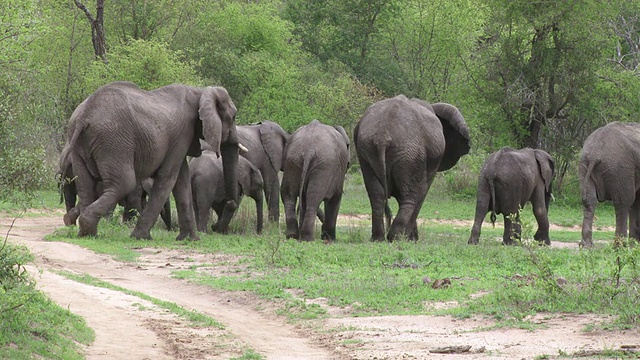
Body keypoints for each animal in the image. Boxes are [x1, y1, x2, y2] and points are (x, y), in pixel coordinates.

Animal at [59, 81, 240, 239]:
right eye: (234, 117)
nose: (230, 202)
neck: (200, 91)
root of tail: (84, 116)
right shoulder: (183, 133)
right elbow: (168, 177)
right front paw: (141, 237)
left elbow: (181, 180)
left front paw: (190, 239)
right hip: (113, 141)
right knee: (123, 183)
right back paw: (88, 227)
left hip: (80, 144)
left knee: (85, 185)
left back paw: (85, 232)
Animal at [356, 95, 470, 242]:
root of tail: (383, 136)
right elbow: (422, 192)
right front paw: (413, 239)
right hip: (411, 153)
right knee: (410, 197)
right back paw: (396, 238)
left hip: (367, 150)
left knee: (376, 195)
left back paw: (378, 238)